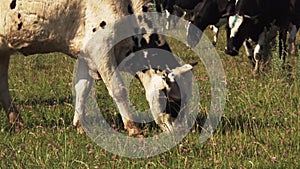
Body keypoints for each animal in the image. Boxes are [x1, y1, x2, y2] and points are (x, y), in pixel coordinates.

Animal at [0, 0, 195, 135]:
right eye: (174, 100)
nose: (181, 133)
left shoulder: (86, 52)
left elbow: (82, 89)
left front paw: (80, 126)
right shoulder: (101, 46)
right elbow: (118, 89)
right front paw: (133, 128)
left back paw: (16, 122)